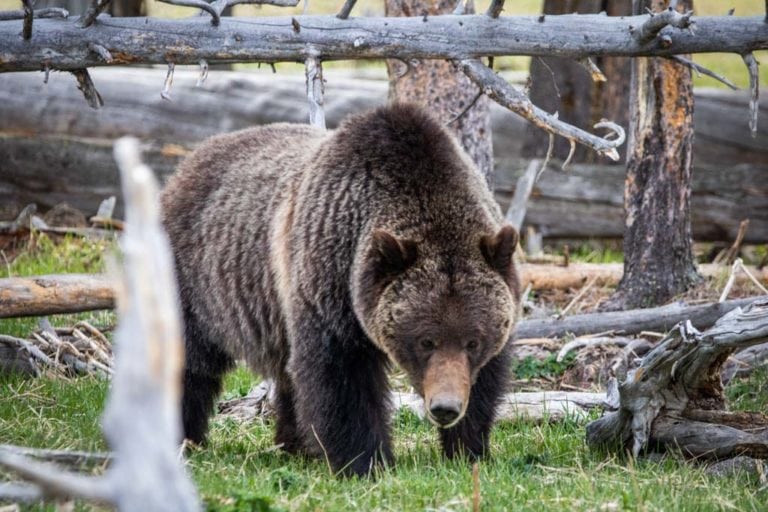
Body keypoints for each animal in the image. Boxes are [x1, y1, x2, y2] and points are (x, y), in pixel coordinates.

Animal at [162, 102, 520, 478]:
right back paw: (184, 437)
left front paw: (468, 449)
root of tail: (187, 162)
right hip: (198, 282)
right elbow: (342, 377)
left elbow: (485, 381)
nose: (445, 407)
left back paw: (295, 444)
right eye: (425, 340)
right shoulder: (331, 285)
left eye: (473, 341)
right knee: (188, 359)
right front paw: (365, 461)